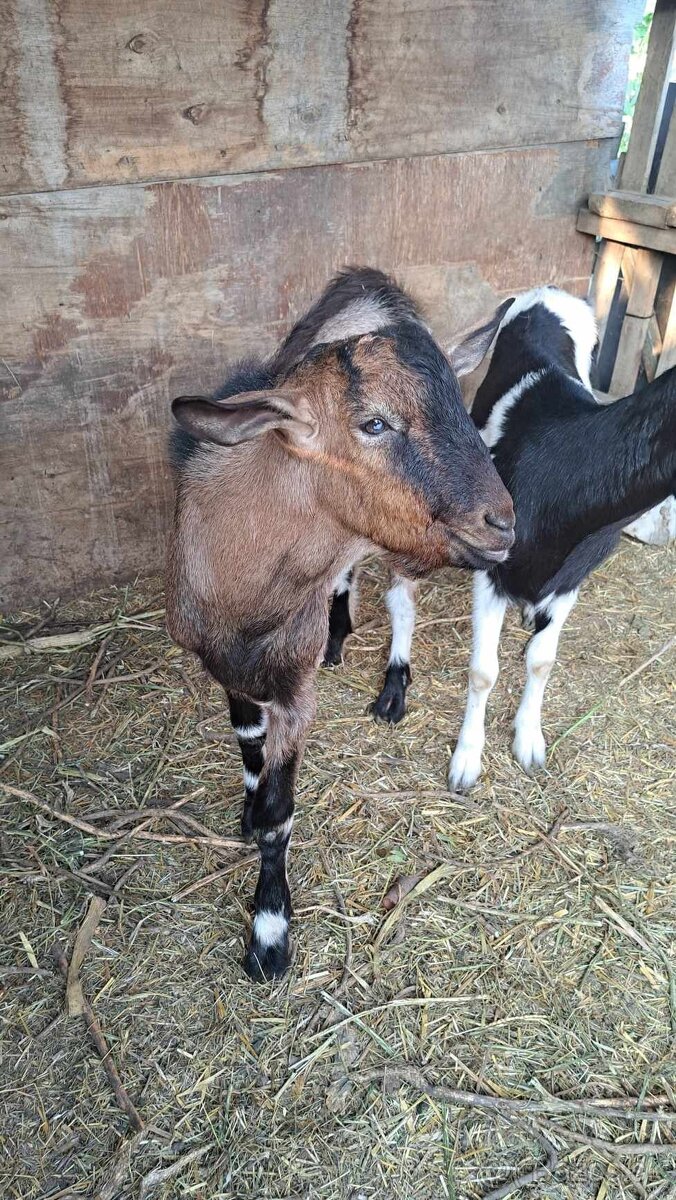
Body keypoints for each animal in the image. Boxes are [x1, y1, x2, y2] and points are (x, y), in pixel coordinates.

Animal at [165, 267, 513, 979]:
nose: (502, 521)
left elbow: (281, 810)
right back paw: (337, 631)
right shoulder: (223, 663)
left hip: (405, 547)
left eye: (461, 407)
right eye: (374, 422)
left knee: (402, 602)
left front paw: (269, 935)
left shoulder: (297, 691)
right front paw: (245, 807)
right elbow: (248, 739)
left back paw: (393, 686)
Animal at [326, 283, 672, 787]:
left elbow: (541, 661)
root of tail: (552, 291)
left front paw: (529, 740)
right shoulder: (490, 570)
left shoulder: (572, 580)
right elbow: (482, 671)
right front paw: (467, 760)